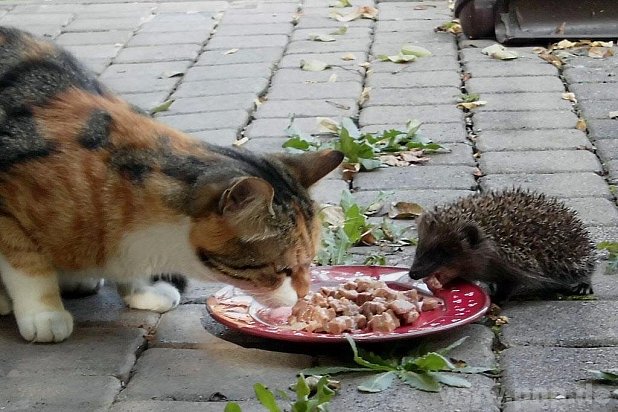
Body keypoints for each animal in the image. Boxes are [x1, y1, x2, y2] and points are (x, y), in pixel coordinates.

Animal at [0, 27, 342, 342]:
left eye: (310, 262)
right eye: (283, 270)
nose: (304, 294)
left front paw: (142, 290)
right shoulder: (7, 210)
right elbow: (27, 265)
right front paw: (45, 313)